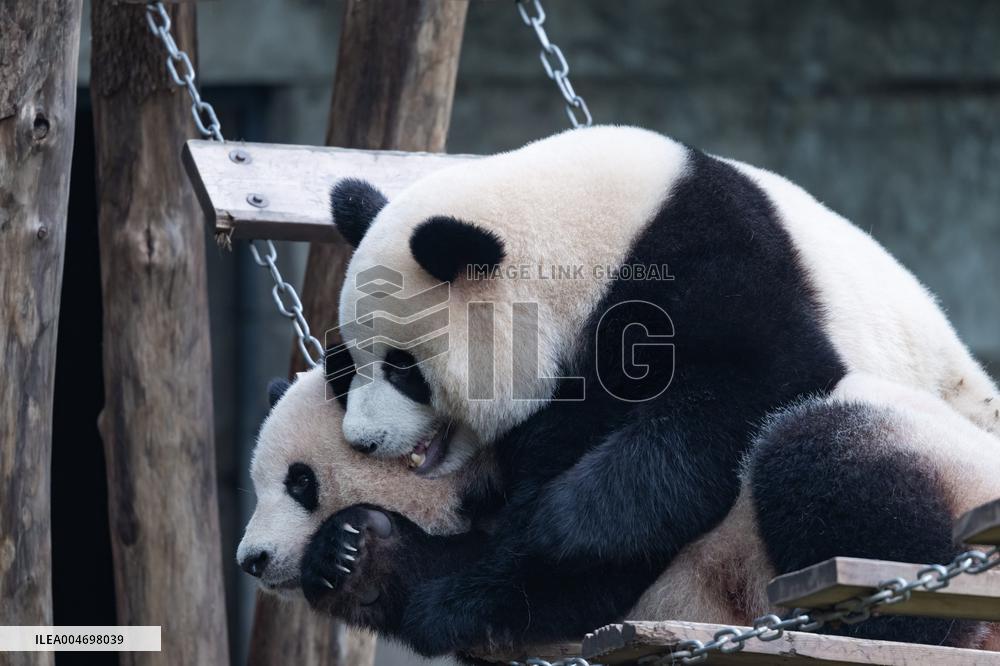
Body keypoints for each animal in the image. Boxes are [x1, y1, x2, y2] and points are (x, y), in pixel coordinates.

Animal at [300, 126, 1000, 656]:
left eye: (402, 369)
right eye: (353, 362)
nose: (362, 439)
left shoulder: (718, 265)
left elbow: (743, 394)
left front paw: (562, 521)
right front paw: (380, 563)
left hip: (947, 455)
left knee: (818, 450)